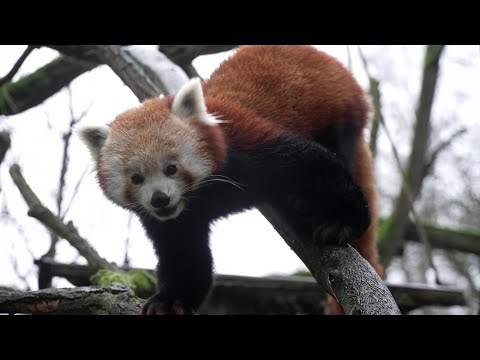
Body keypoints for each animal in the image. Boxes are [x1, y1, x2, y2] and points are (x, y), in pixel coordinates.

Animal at [80, 45, 384, 316]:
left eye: (171, 168)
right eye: (136, 178)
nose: (160, 199)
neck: (205, 197)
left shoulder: (249, 146)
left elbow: (313, 165)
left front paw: (344, 222)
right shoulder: (174, 221)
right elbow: (183, 255)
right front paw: (170, 301)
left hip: (339, 113)